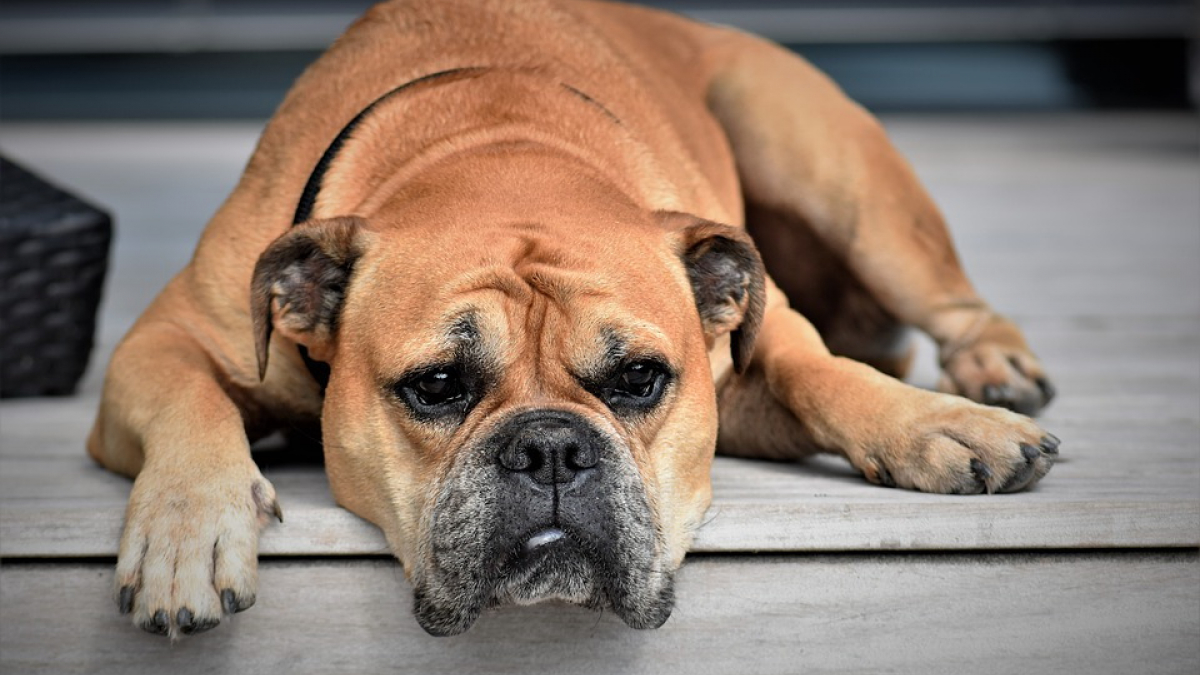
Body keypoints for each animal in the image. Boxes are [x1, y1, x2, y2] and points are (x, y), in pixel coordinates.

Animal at [88, 0, 1056, 634]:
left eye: (640, 378)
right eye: (436, 384)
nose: (551, 447)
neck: (495, 147)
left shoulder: (752, 344)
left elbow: (818, 370)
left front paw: (938, 424)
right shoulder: (162, 341)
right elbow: (189, 399)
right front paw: (187, 529)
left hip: (835, 171)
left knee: (951, 301)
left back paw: (991, 371)